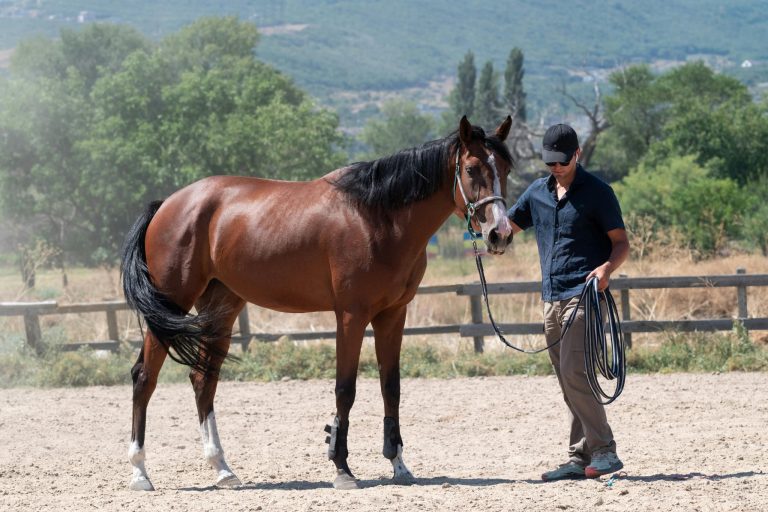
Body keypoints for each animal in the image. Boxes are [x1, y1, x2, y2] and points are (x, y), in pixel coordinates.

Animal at [121, 115, 514, 491]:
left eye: (506, 169)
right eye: (471, 170)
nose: (501, 234)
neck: (377, 217)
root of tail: (167, 205)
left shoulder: (392, 315)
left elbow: (391, 388)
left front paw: (399, 465)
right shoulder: (351, 316)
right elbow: (345, 388)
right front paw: (341, 468)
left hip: (221, 308)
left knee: (203, 379)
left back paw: (223, 469)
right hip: (171, 304)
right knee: (145, 377)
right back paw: (140, 474)